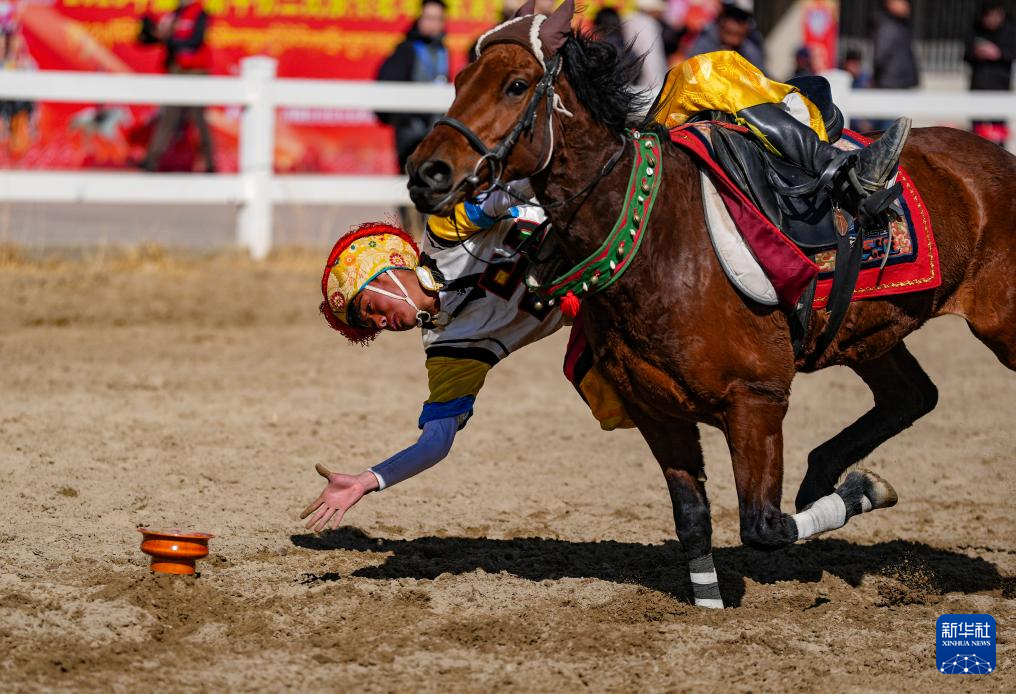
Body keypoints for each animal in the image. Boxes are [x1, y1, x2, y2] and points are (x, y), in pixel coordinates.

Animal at [406, 0, 1016, 609]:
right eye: (459, 80)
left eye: (515, 85)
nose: (426, 171)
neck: (657, 236)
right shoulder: (658, 411)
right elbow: (694, 519)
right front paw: (710, 603)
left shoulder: (757, 402)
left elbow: (764, 525)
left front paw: (864, 489)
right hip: (870, 338)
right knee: (912, 396)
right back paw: (823, 470)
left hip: (999, 328)